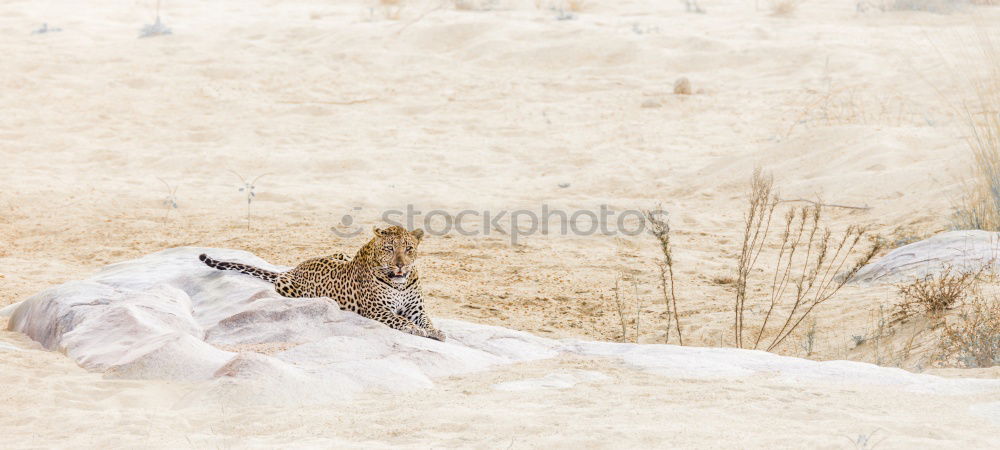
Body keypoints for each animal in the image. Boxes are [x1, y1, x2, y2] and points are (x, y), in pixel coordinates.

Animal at [197, 225, 444, 342]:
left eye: (409, 248)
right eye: (389, 248)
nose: (400, 265)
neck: (400, 282)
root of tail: (293, 268)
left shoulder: (416, 308)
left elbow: (427, 320)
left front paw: (436, 331)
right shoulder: (377, 310)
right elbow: (400, 319)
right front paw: (416, 329)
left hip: (340, 253)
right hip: (286, 286)